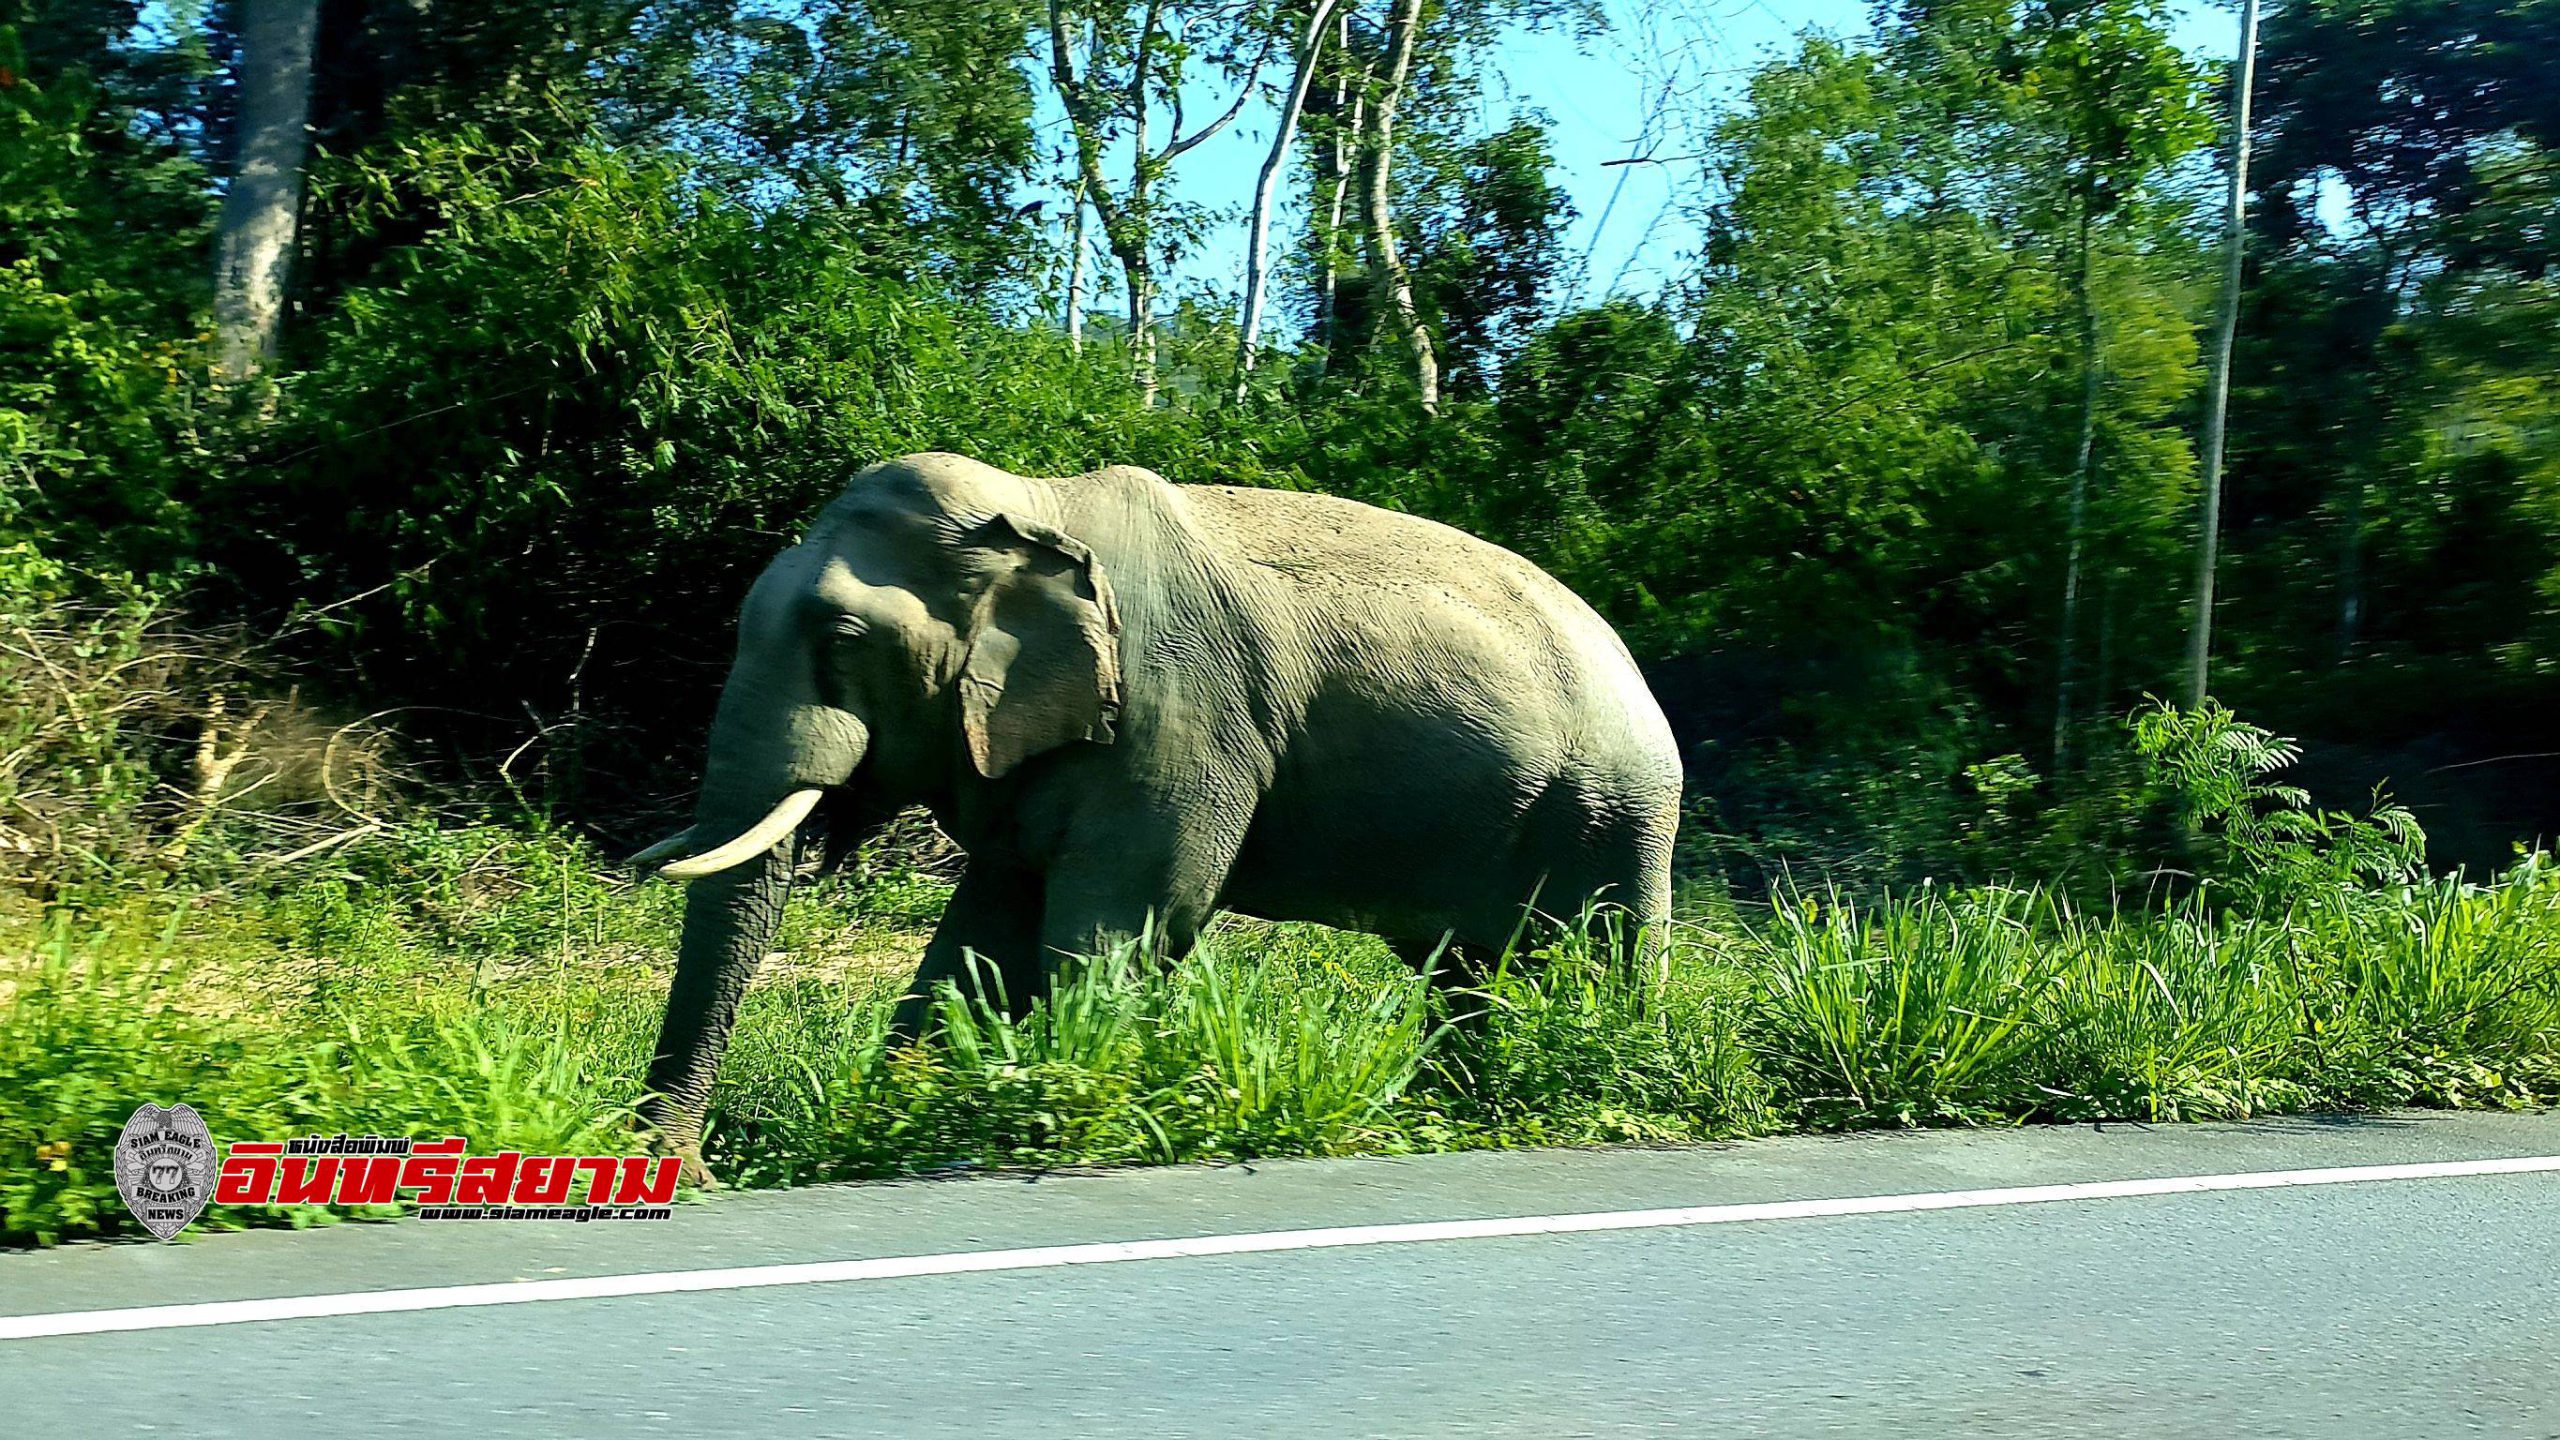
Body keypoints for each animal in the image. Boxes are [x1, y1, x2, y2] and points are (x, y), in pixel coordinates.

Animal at [634, 450, 1679, 1178]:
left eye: (843, 637)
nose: (690, 1171)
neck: (1034, 510)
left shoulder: (1180, 719)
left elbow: (1130, 922)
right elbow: (983, 934)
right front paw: (884, 1124)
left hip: (1615, 811)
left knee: (1600, 954)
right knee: (1465, 972)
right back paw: (1458, 1112)